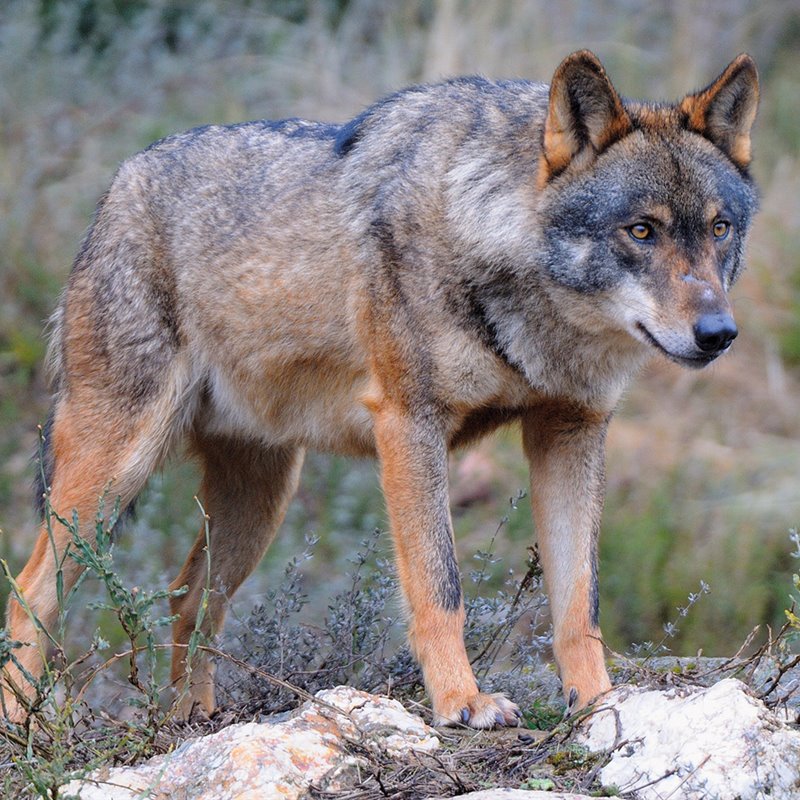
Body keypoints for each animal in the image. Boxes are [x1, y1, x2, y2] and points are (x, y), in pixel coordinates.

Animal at [3, 50, 758, 727]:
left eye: (719, 228)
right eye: (642, 230)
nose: (720, 334)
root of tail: (119, 183)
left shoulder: (570, 433)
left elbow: (580, 603)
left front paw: (598, 702)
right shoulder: (409, 424)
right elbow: (439, 586)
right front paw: (462, 703)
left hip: (259, 502)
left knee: (186, 599)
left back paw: (191, 720)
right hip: (113, 476)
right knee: (28, 593)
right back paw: (26, 732)